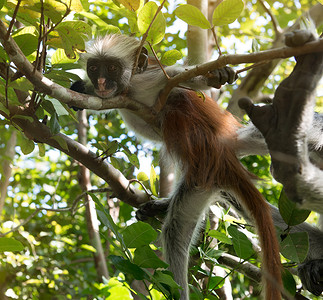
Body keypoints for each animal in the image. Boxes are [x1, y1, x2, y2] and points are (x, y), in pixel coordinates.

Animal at [71, 33, 284, 300]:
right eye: (93, 68)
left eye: (111, 68)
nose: (99, 81)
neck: (129, 89)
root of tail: (222, 156)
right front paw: (80, 90)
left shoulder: (150, 79)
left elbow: (179, 79)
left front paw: (216, 75)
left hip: (200, 173)